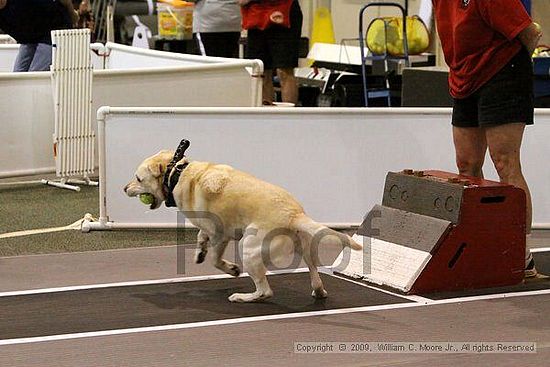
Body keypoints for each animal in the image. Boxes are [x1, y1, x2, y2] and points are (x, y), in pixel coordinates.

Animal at [127, 139, 364, 304]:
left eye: (138, 179)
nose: (124, 188)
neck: (177, 172)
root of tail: (293, 214)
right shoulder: (211, 230)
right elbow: (201, 237)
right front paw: (200, 250)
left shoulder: (220, 234)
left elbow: (215, 258)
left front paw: (231, 269)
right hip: (304, 248)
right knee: (315, 274)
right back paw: (319, 291)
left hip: (248, 248)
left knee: (265, 291)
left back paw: (242, 297)